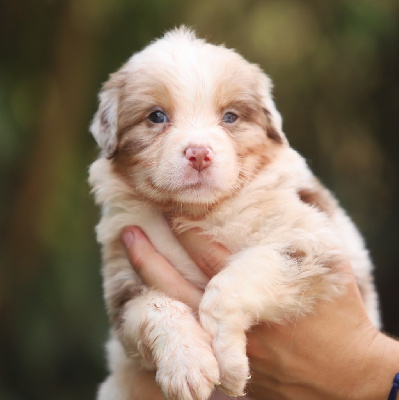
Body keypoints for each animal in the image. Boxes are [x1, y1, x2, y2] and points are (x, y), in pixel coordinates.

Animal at [90, 28, 382, 400]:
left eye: (230, 117)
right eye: (156, 116)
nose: (199, 153)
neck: (201, 212)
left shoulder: (312, 238)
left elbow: (230, 282)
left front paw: (228, 362)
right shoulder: (124, 277)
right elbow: (155, 308)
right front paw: (187, 366)